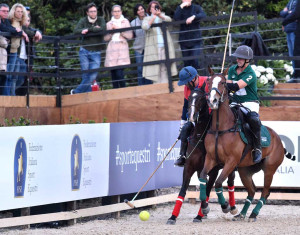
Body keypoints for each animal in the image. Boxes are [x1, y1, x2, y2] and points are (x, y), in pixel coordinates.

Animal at [166, 85, 237, 226]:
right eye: (189, 98)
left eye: (201, 98)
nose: (192, 115)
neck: (199, 137)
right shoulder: (189, 168)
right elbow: (184, 190)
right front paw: (172, 217)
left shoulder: (214, 170)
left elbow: (208, 190)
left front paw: (201, 213)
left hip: (230, 165)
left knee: (230, 183)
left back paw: (231, 207)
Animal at [198, 66, 294, 222]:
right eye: (208, 81)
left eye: (223, 82)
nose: (212, 101)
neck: (220, 128)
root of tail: (279, 141)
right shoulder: (211, 158)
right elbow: (202, 176)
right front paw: (205, 206)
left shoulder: (231, 161)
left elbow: (218, 182)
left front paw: (226, 207)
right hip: (245, 170)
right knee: (252, 190)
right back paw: (242, 214)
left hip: (269, 168)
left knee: (265, 192)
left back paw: (253, 214)